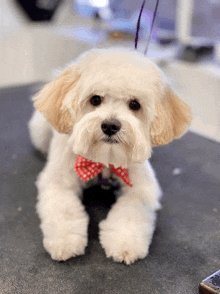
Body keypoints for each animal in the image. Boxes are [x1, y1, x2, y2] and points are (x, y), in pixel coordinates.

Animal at [28, 47, 191, 264]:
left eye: (134, 104)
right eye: (95, 99)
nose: (110, 125)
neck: (104, 161)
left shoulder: (142, 188)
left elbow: (131, 211)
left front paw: (125, 242)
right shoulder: (58, 182)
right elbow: (64, 210)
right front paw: (65, 241)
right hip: (40, 132)